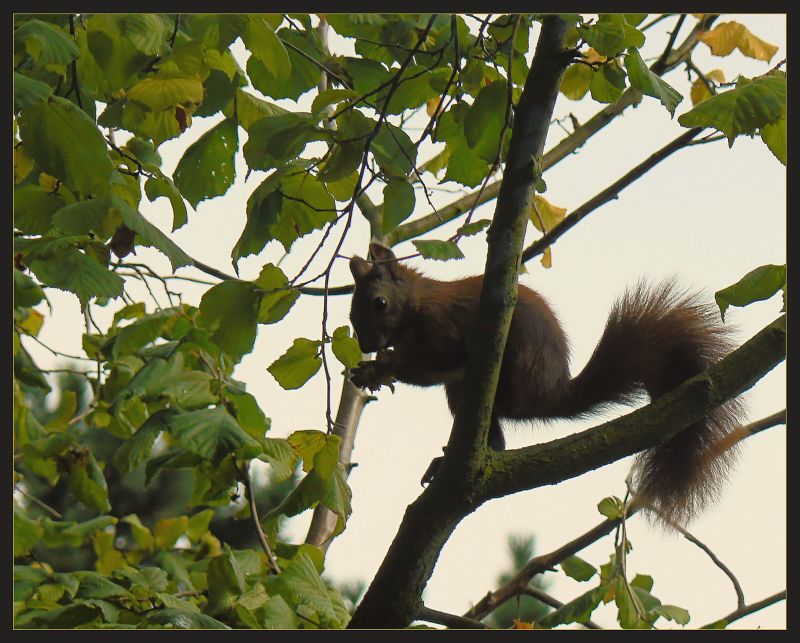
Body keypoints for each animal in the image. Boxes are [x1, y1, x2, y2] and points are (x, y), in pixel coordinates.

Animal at [348, 244, 744, 524]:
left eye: (379, 303)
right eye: (351, 312)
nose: (366, 344)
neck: (418, 302)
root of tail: (549, 395)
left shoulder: (446, 327)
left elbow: (436, 359)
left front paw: (386, 363)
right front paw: (371, 371)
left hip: (515, 362)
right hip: (462, 394)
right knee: (495, 440)